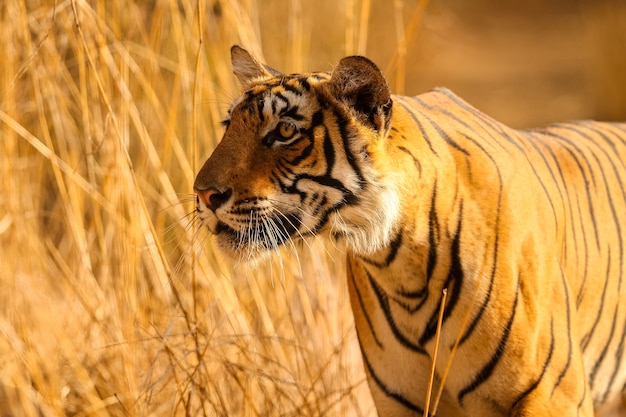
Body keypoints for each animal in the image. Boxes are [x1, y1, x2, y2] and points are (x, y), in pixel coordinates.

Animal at [194, 44, 624, 414]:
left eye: (284, 132)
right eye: (228, 125)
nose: (203, 193)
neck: (401, 263)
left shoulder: (554, 396)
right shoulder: (399, 401)